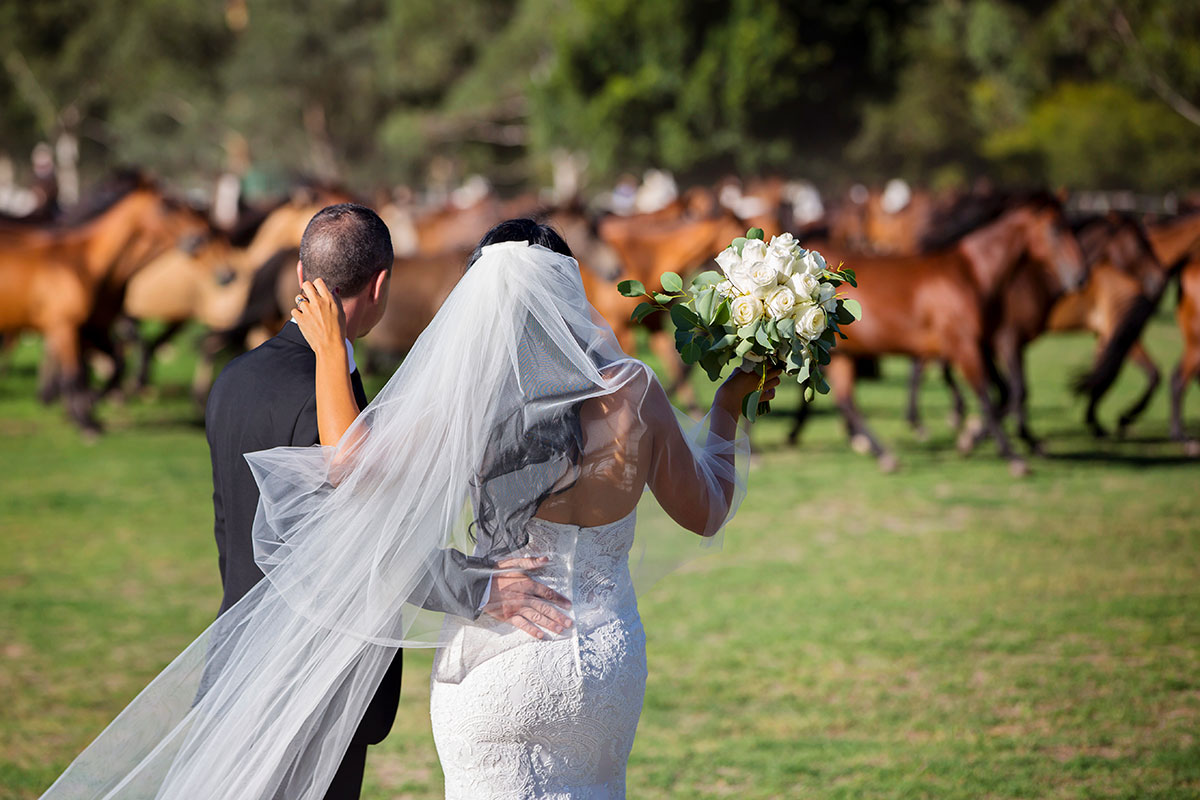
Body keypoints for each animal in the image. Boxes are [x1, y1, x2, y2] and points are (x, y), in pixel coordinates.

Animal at [806, 195, 1089, 474]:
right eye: (1055, 229)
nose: (1080, 276)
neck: (972, 275)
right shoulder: (968, 346)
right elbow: (988, 396)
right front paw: (1011, 456)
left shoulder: (985, 345)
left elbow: (1008, 392)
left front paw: (976, 437)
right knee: (844, 400)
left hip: (843, 354)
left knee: (846, 401)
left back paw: (882, 453)